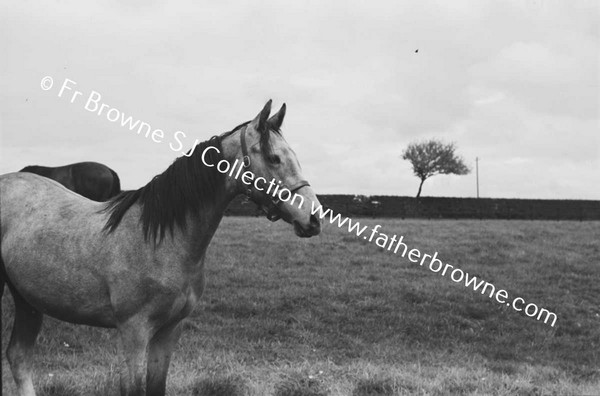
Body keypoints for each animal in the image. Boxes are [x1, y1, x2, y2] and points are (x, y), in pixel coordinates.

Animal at [0, 100, 322, 396]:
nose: (314, 218)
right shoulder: (133, 332)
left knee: (19, 357)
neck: (160, 241)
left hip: (28, 301)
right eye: (273, 157)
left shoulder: (169, 331)